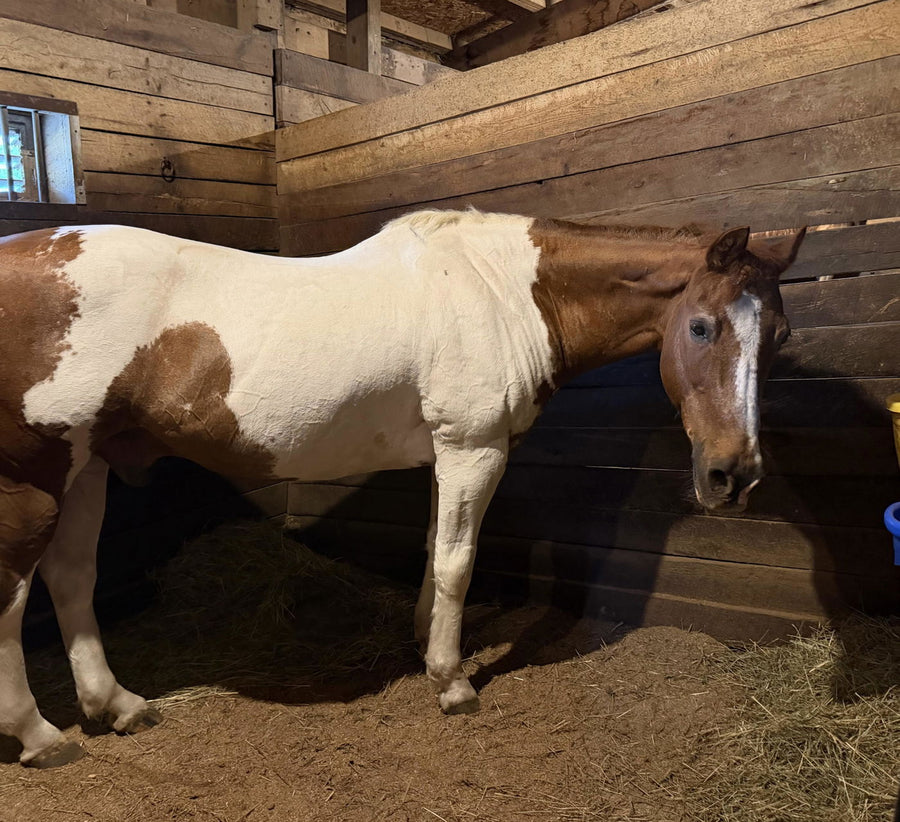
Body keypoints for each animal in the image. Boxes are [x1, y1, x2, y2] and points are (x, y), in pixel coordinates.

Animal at [0, 209, 805, 767]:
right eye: (700, 327)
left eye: (779, 336)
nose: (734, 475)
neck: (504, 292)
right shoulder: (473, 451)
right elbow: (457, 563)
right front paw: (451, 682)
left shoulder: (449, 458)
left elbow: (433, 551)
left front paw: (425, 640)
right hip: (35, 480)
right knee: (13, 597)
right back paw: (41, 736)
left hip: (88, 467)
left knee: (72, 578)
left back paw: (118, 705)